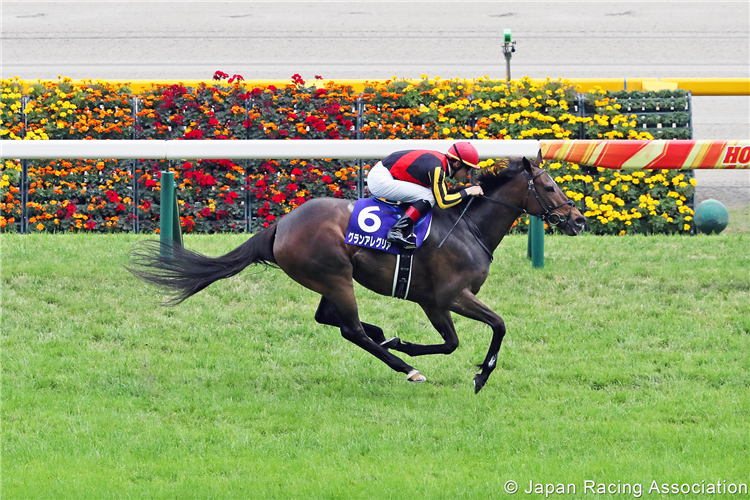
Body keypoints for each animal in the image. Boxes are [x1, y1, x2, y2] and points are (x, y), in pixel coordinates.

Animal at [129, 150, 588, 392]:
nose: (579, 220)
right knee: (350, 329)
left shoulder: (432, 300)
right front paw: (480, 375)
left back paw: (385, 337)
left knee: (329, 318)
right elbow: (495, 327)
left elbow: (452, 342)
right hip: (334, 276)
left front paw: (406, 342)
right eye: (550, 187)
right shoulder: (450, 295)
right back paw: (404, 365)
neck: (468, 226)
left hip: (328, 278)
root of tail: (282, 224)